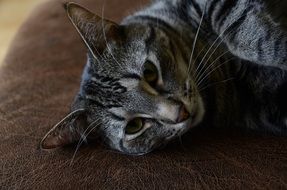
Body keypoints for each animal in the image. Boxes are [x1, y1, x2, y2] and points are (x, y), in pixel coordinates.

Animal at [40, 0, 287, 155]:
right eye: (134, 126)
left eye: (149, 72)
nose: (180, 113)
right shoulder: (264, 101)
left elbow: (240, 30)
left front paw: (280, 50)